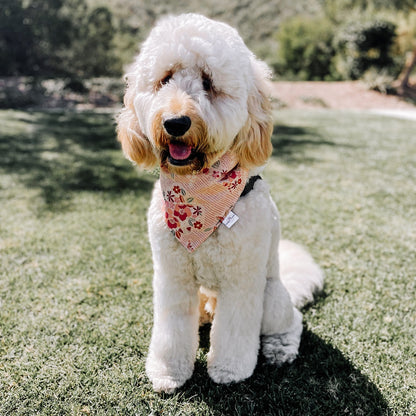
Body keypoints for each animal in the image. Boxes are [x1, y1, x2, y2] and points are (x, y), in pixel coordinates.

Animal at [115, 13, 324, 394]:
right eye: (164, 79)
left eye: (209, 82)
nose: (176, 122)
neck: (200, 198)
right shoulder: (172, 275)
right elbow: (171, 329)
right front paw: (169, 372)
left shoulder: (242, 280)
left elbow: (235, 331)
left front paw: (229, 370)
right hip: (203, 295)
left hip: (271, 296)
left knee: (292, 321)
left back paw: (280, 348)